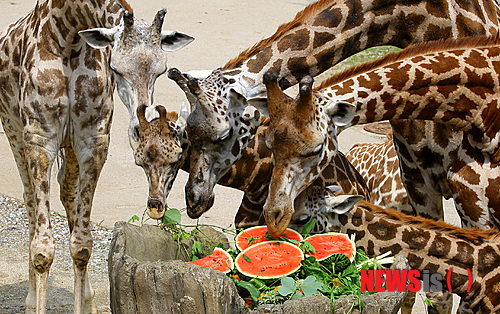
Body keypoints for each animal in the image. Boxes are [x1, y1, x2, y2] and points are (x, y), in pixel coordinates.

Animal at [0, 1, 193, 312]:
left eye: (161, 70)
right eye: (115, 68)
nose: (141, 129)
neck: (67, 37)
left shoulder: (93, 140)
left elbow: (82, 245)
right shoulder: (40, 138)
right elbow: (42, 250)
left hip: (68, 145)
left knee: (67, 191)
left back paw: (88, 297)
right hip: (13, 129)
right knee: (29, 198)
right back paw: (29, 300)